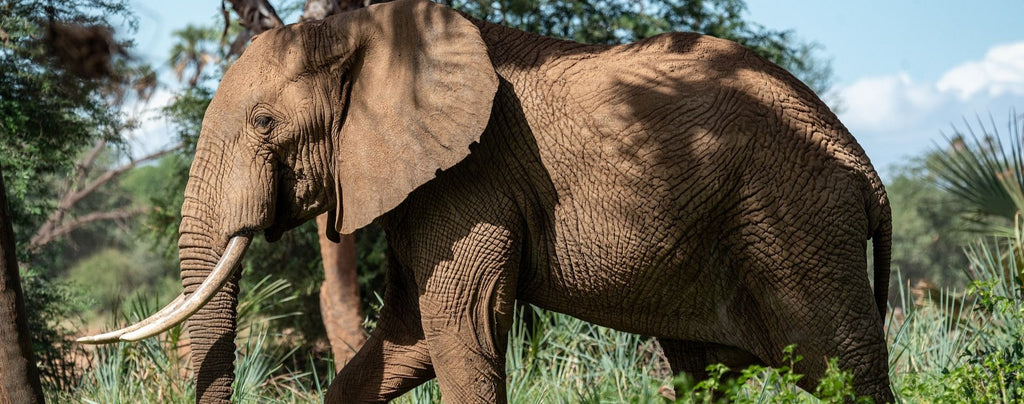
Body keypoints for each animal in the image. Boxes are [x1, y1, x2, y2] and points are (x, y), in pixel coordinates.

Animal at [81, 1, 897, 402]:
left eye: (263, 123)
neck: (363, 30)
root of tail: (865, 165)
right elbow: (408, 337)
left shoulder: (471, 178)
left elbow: (458, 323)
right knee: (705, 369)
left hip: (797, 220)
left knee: (842, 366)